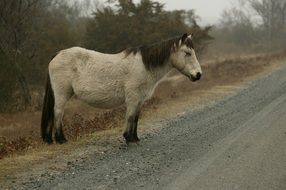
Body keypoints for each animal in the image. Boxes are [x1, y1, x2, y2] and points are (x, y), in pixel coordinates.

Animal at [41, 33, 202, 144]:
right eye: (187, 53)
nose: (198, 75)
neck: (144, 66)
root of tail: (57, 55)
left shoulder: (139, 100)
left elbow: (136, 117)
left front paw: (135, 138)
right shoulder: (132, 98)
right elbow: (130, 117)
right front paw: (128, 138)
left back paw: (50, 139)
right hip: (62, 94)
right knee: (58, 113)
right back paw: (61, 139)